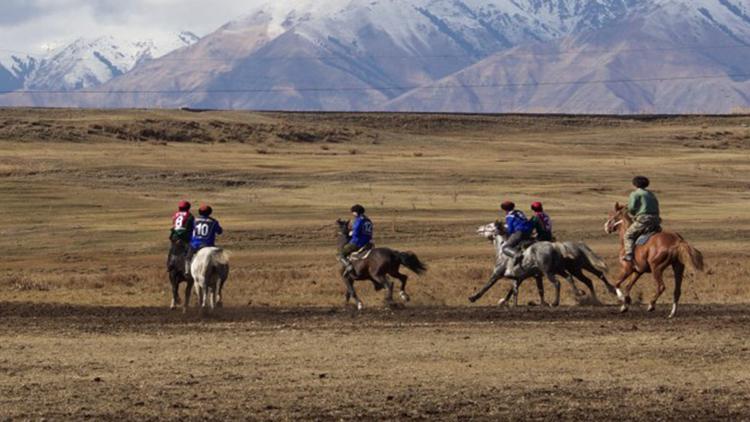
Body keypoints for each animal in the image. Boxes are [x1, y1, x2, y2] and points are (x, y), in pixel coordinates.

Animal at [470, 221, 616, 306]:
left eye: (489, 226)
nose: (478, 228)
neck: (503, 250)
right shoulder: (522, 277)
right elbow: (516, 290)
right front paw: (508, 303)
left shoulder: (497, 274)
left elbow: (487, 286)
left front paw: (473, 297)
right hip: (574, 269)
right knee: (590, 278)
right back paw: (594, 296)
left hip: (557, 271)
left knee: (560, 282)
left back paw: (559, 301)